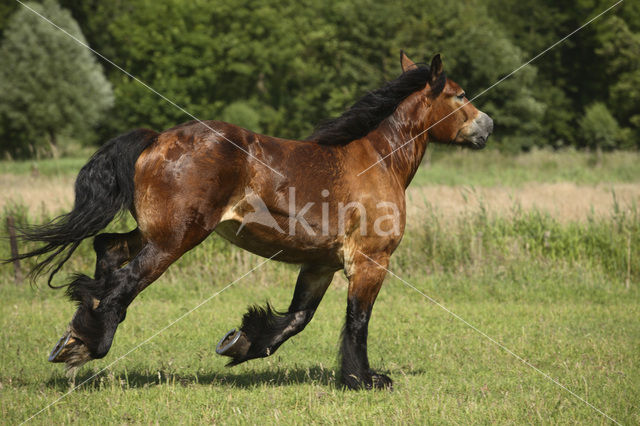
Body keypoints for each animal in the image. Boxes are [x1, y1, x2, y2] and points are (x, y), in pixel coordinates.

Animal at [7, 51, 492, 392]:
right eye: (459, 94)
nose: (488, 126)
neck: (377, 159)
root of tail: (158, 138)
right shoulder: (371, 261)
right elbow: (357, 320)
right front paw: (364, 380)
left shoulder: (319, 264)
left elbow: (297, 318)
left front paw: (239, 342)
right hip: (175, 239)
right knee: (124, 282)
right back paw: (87, 344)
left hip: (153, 232)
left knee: (107, 250)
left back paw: (79, 328)